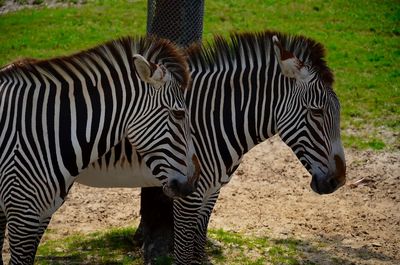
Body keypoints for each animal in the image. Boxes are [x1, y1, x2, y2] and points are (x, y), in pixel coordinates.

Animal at [76, 30, 346, 262]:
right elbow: (185, 254)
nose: (339, 181)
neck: (213, 118)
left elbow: (199, 247)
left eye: (339, 110)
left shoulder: (211, 191)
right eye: (316, 112)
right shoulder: (188, 195)